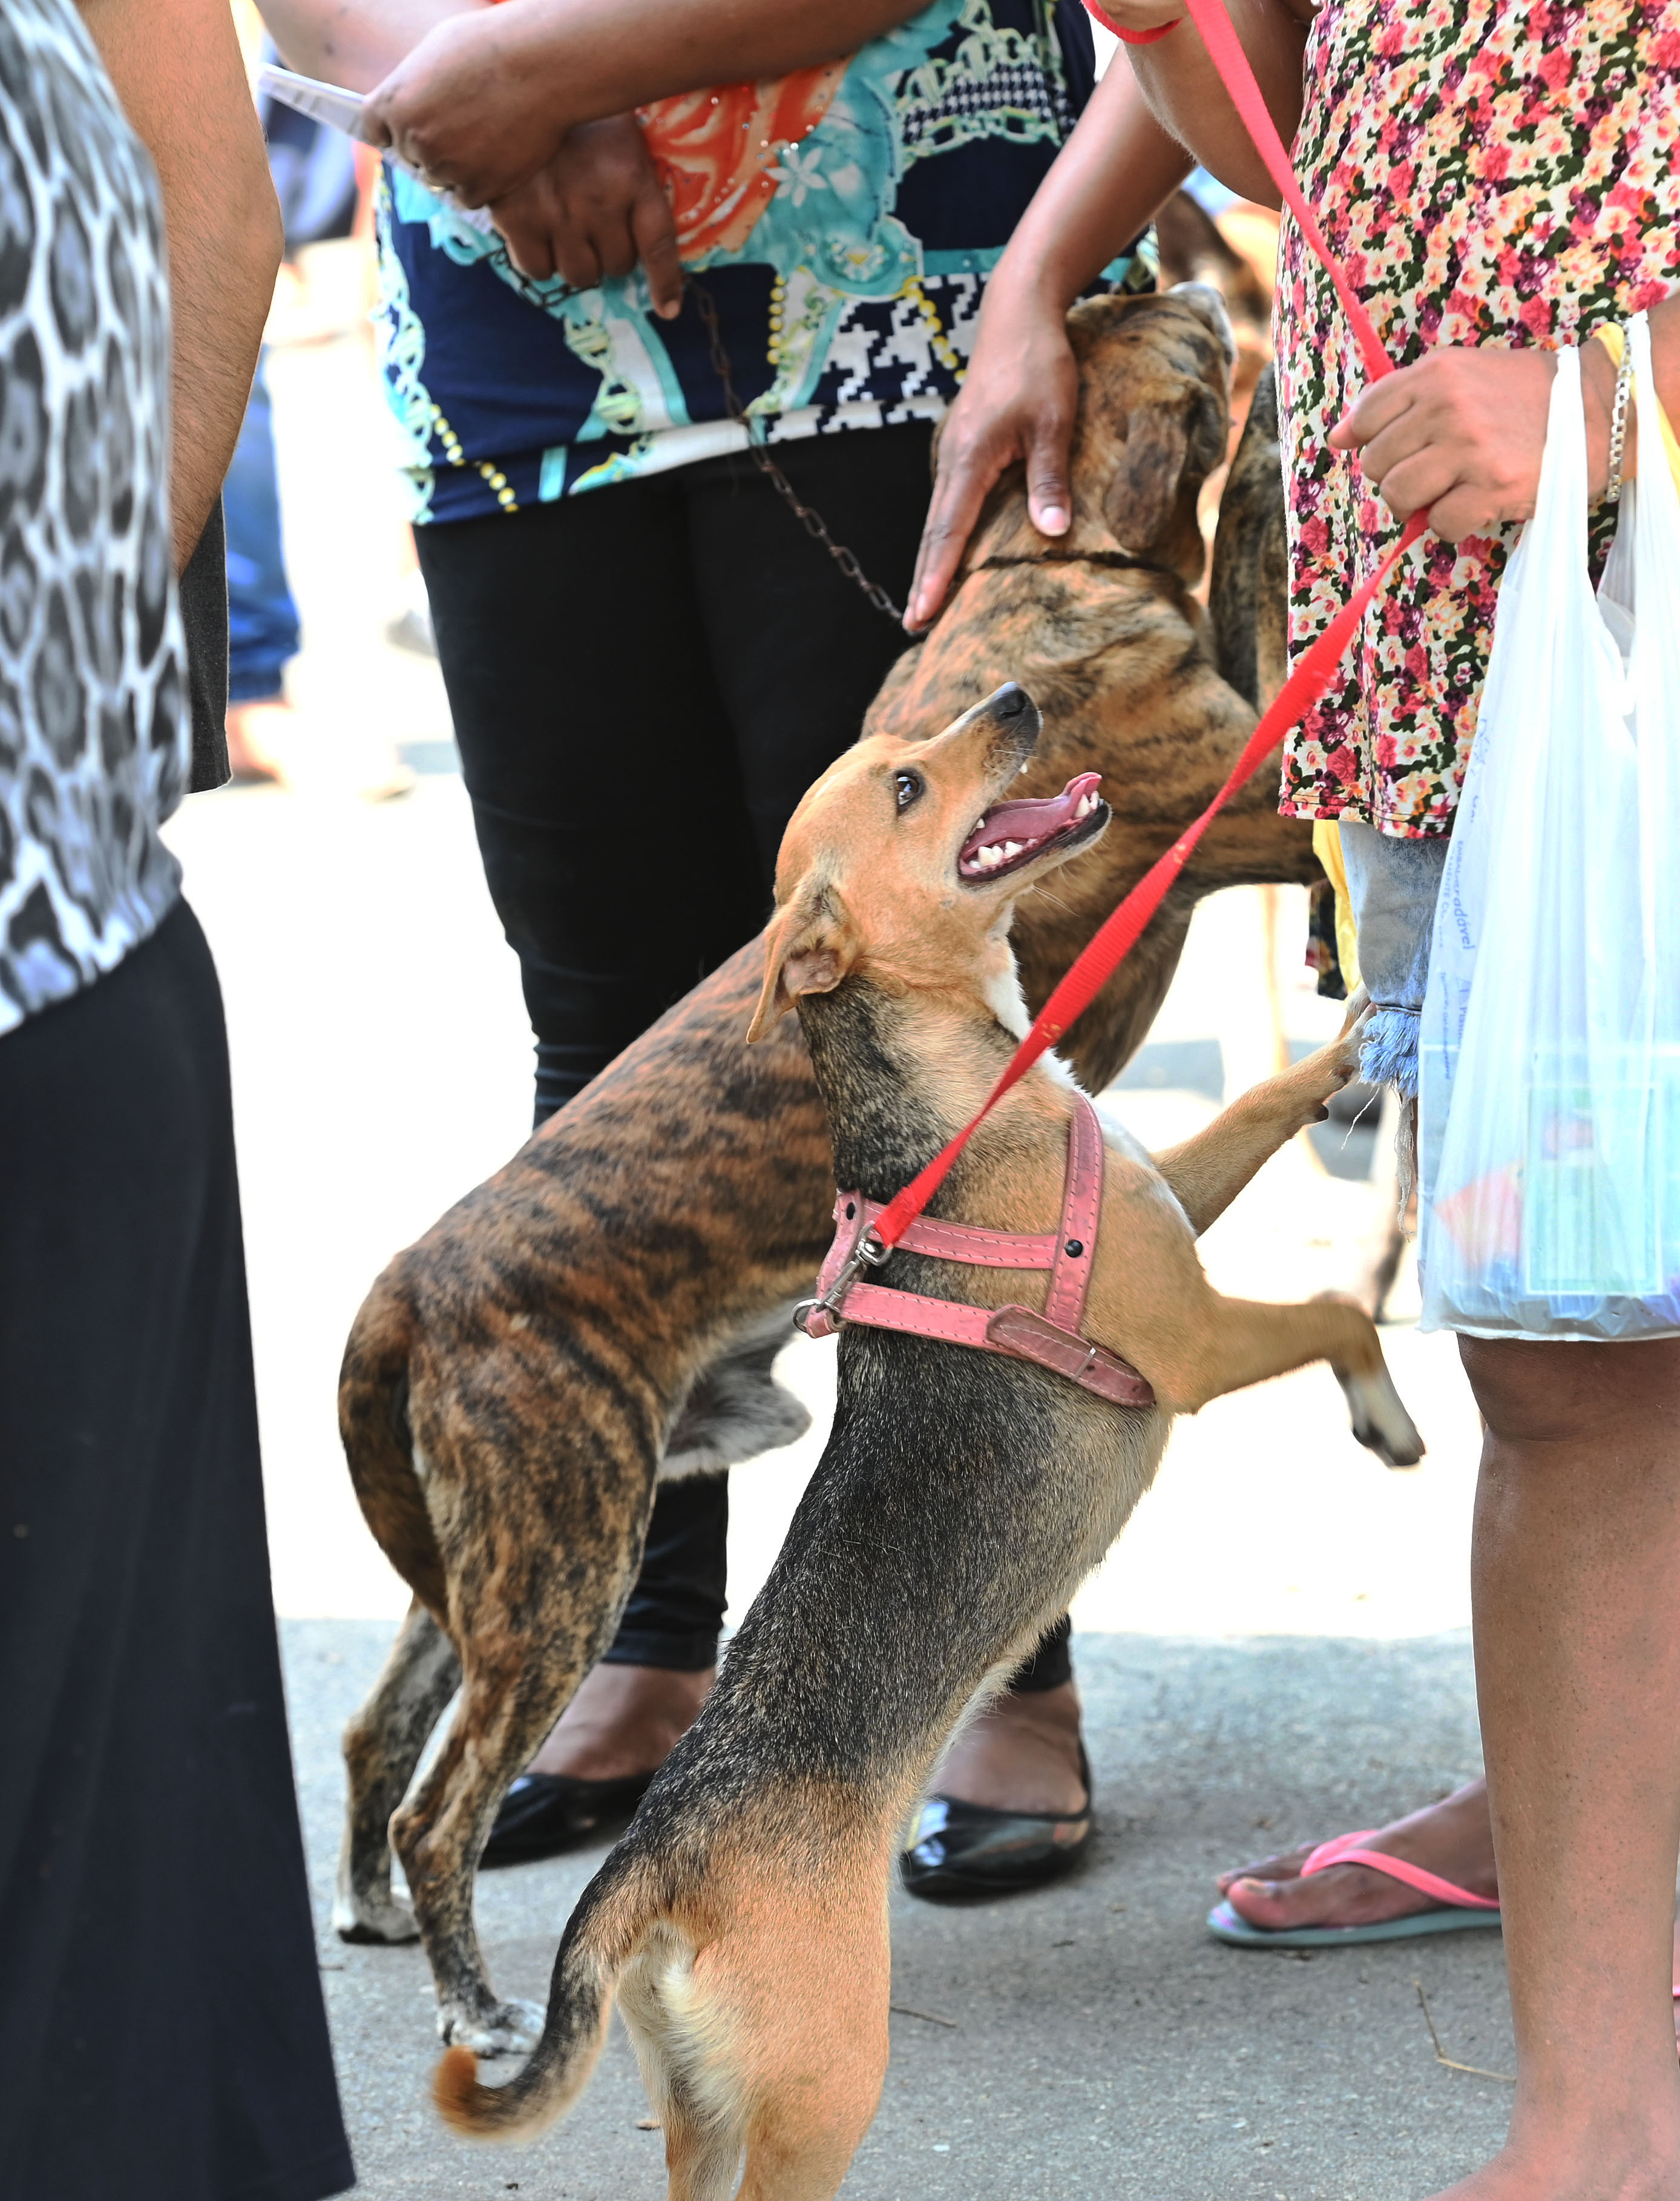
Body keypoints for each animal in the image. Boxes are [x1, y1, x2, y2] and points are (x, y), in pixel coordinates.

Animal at [339, 284, 1312, 2051]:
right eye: (1156, 326)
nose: (1199, 279)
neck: (1023, 569)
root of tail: (408, 1284)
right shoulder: (1253, 787)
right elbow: (1258, 581)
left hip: (490, 1563)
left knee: (381, 1728)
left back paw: (375, 1913)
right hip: (566, 1557)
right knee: (443, 1800)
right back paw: (480, 2003)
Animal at [433, 682, 1418, 2183]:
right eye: (903, 787)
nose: (1015, 697)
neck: (949, 1100)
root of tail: (647, 1872)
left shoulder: (1174, 1201)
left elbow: (1256, 1106)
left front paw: (1352, 1038)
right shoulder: (1192, 1343)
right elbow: (1330, 1313)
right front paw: (1387, 1413)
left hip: (695, 2115)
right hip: (821, 2091)